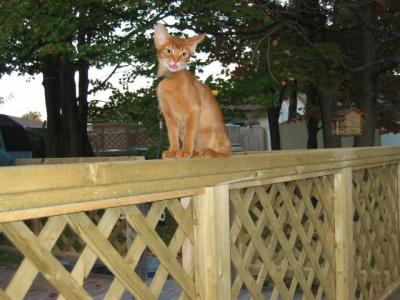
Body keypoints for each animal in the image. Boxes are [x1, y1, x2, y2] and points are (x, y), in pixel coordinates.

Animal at [154, 22, 231, 159]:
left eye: (184, 54)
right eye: (169, 51)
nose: (175, 61)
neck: (170, 78)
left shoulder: (193, 110)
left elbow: (189, 134)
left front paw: (185, 151)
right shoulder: (168, 115)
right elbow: (172, 135)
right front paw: (173, 150)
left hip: (210, 132)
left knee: (228, 151)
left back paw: (210, 152)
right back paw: (195, 153)